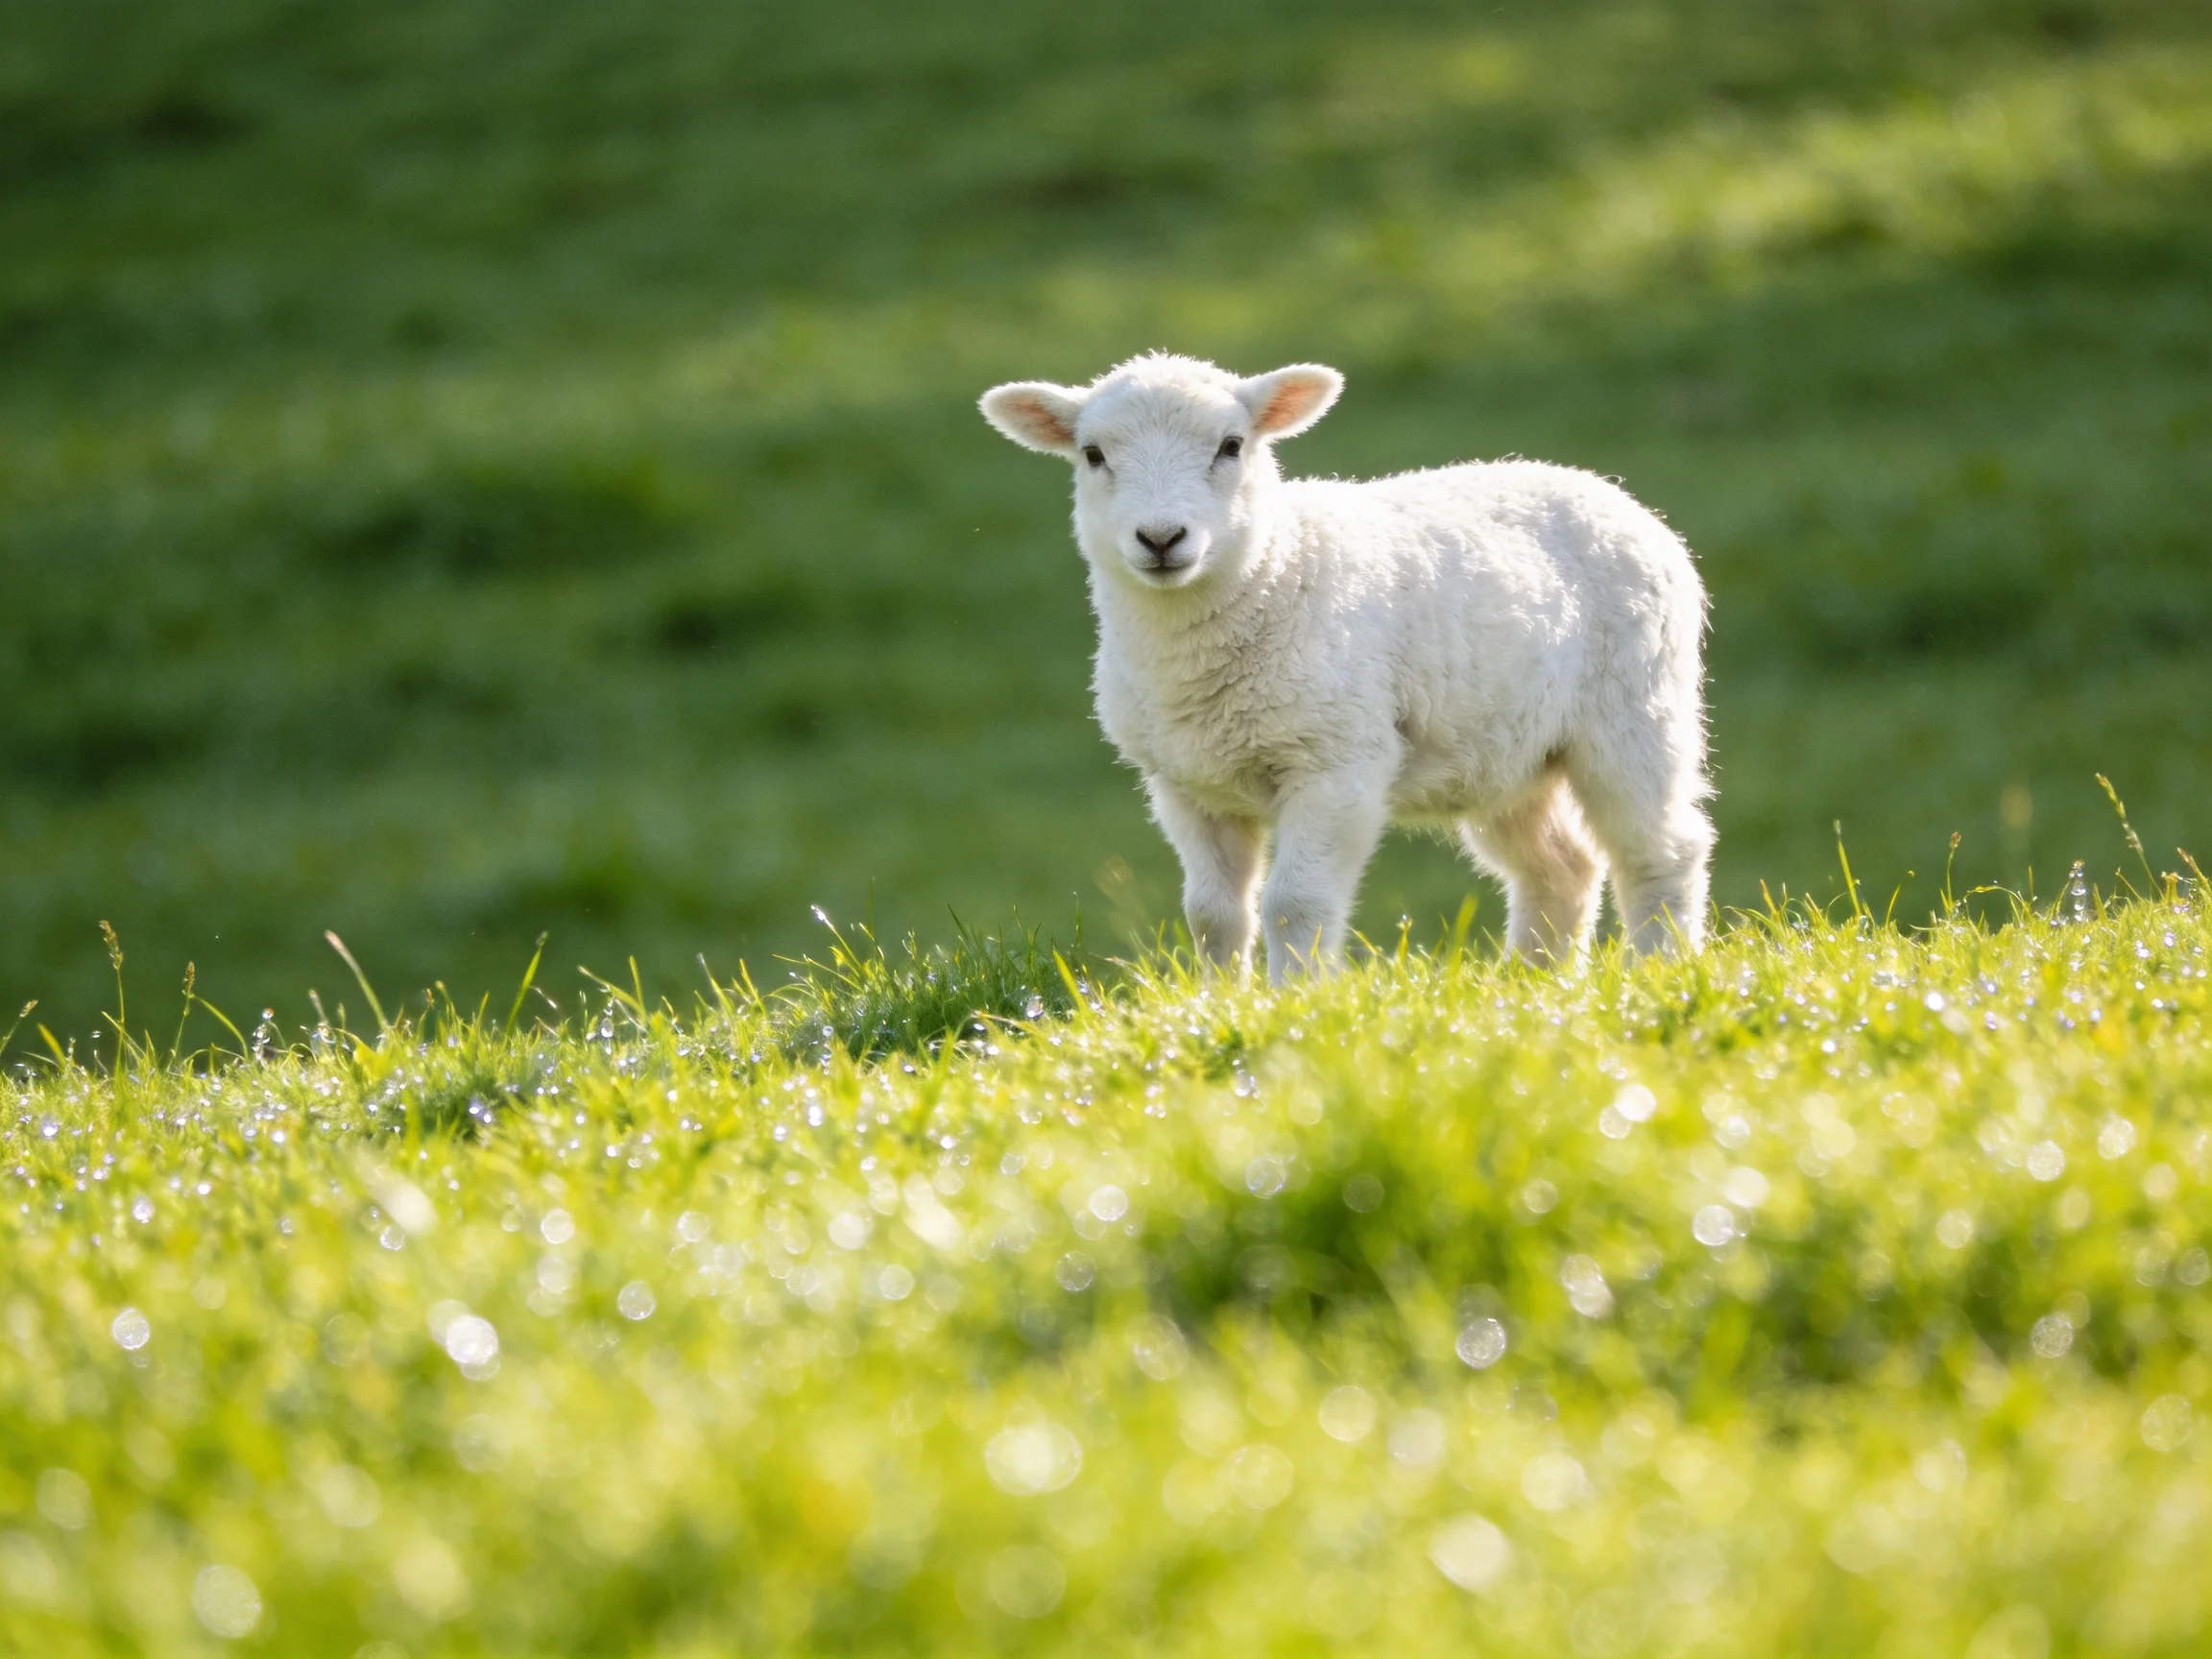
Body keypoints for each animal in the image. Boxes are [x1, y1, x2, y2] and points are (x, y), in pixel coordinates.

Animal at [979, 351, 1712, 983]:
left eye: (1231, 446)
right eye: (1093, 454)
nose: (1161, 539)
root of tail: (1607, 491)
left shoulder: (1336, 763)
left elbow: (1293, 904)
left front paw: (1293, 1004)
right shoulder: (1187, 784)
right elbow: (1212, 915)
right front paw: (1216, 1004)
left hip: (1635, 709)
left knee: (1660, 851)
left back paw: (1658, 972)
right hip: (1509, 754)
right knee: (1561, 866)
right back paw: (1534, 984)